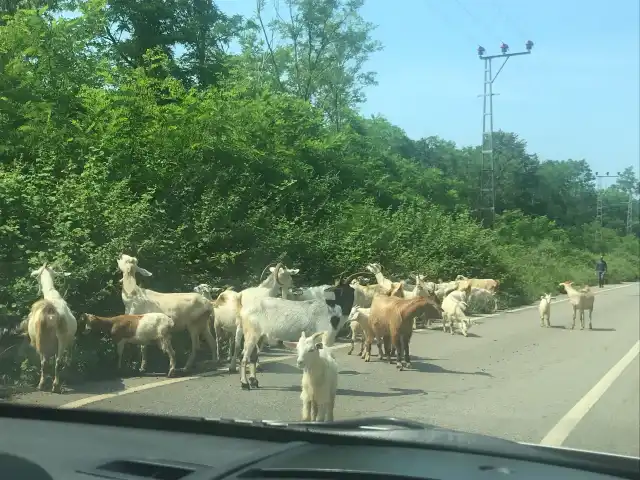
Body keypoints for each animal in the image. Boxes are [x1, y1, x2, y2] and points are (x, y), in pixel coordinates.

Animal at [28, 262, 77, 394]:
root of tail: (49, 310)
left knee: (45, 362)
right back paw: (55, 386)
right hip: (61, 338)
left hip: (41, 339)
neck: (51, 293)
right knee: (57, 362)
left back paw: (43, 385)